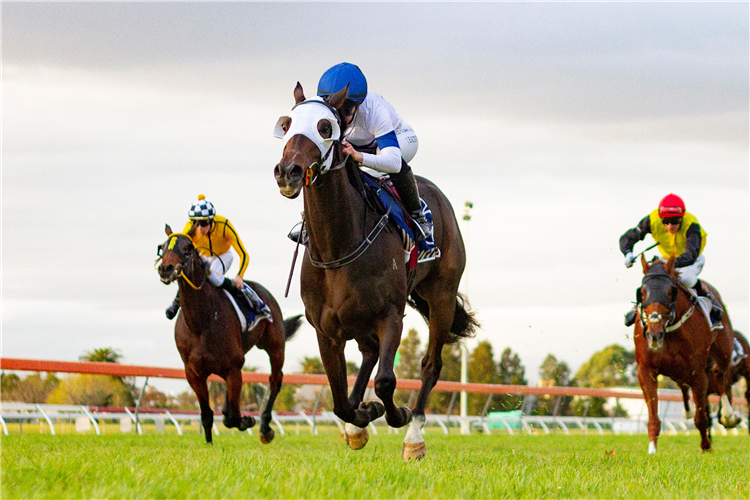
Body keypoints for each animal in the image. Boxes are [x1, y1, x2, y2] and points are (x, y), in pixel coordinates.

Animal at [158, 225, 302, 444]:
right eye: (163, 247)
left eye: (187, 248)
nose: (165, 268)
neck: (201, 323)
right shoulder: (194, 373)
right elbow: (207, 414)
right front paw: (209, 444)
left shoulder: (233, 368)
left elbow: (233, 416)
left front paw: (247, 421)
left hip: (275, 345)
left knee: (275, 380)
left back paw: (265, 428)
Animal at [274, 83, 478, 460]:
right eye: (287, 124)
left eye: (325, 127)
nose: (287, 171)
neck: (339, 245)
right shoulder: (325, 328)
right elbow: (339, 398)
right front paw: (362, 415)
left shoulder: (390, 315)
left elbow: (385, 381)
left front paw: (395, 413)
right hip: (356, 318)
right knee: (368, 353)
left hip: (441, 297)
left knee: (430, 365)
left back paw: (414, 434)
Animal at [636, 254, 744, 454]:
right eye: (643, 293)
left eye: (670, 292)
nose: (654, 334)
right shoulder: (646, 370)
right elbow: (653, 417)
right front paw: (652, 450)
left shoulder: (698, 373)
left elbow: (701, 418)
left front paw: (706, 447)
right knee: (684, 384)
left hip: (723, 350)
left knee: (721, 374)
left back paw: (728, 415)